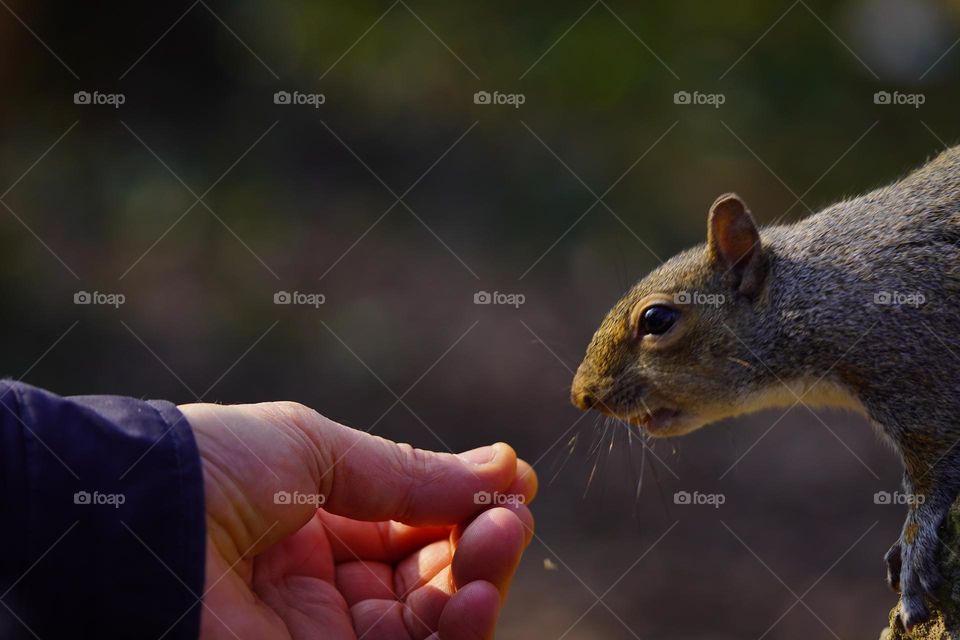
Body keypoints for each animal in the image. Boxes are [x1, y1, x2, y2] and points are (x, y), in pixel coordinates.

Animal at [568, 145, 960, 632]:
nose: (581, 394)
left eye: (657, 319)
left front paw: (913, 544)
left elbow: (934, 472)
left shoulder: (921, 365)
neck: (815, 298)